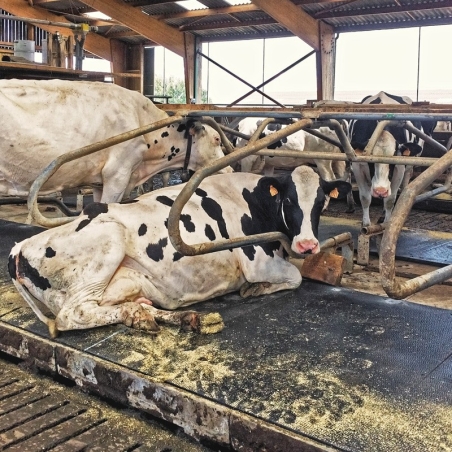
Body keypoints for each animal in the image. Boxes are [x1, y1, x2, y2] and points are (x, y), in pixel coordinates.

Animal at [8, 165, 352, 336]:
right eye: (289, 200)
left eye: (321, 201)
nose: (307, 244)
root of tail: (18, 247)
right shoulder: (257, 261)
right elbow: (295, 277)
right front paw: (257, 289)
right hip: (108, 242)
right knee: (72, 315)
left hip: (131, 283)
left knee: (126, 306)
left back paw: (169, 317)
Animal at [348, 91, 436, 226]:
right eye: (370, 160)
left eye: (392, 160)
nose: (380, 191)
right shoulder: (357, 165)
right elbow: (365, 198)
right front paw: (366, 224)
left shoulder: (399, 167)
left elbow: (390, 200)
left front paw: (387, 222)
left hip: (409, 165)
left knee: (405, 182)